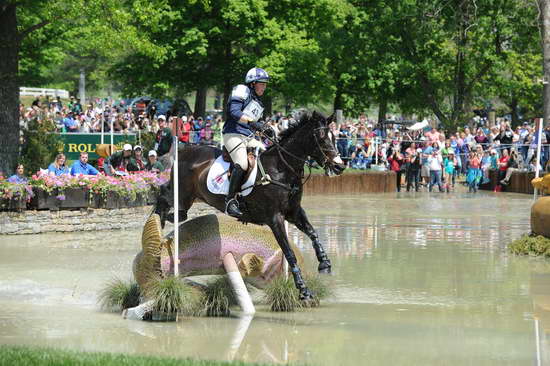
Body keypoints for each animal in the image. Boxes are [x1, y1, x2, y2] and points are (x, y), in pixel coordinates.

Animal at [153, 110, 348, 302]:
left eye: (334, 137)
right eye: (321, 138)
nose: (339, 166)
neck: (281, 169)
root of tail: (183, 152)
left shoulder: (293, 212)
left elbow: (313, 233)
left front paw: (324, 263)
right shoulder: (275, 218)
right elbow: (289, 252)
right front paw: (303, 290)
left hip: (186, 200)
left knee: (173, 207)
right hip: (181, 195)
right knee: (163, 196)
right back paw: (157, 227)